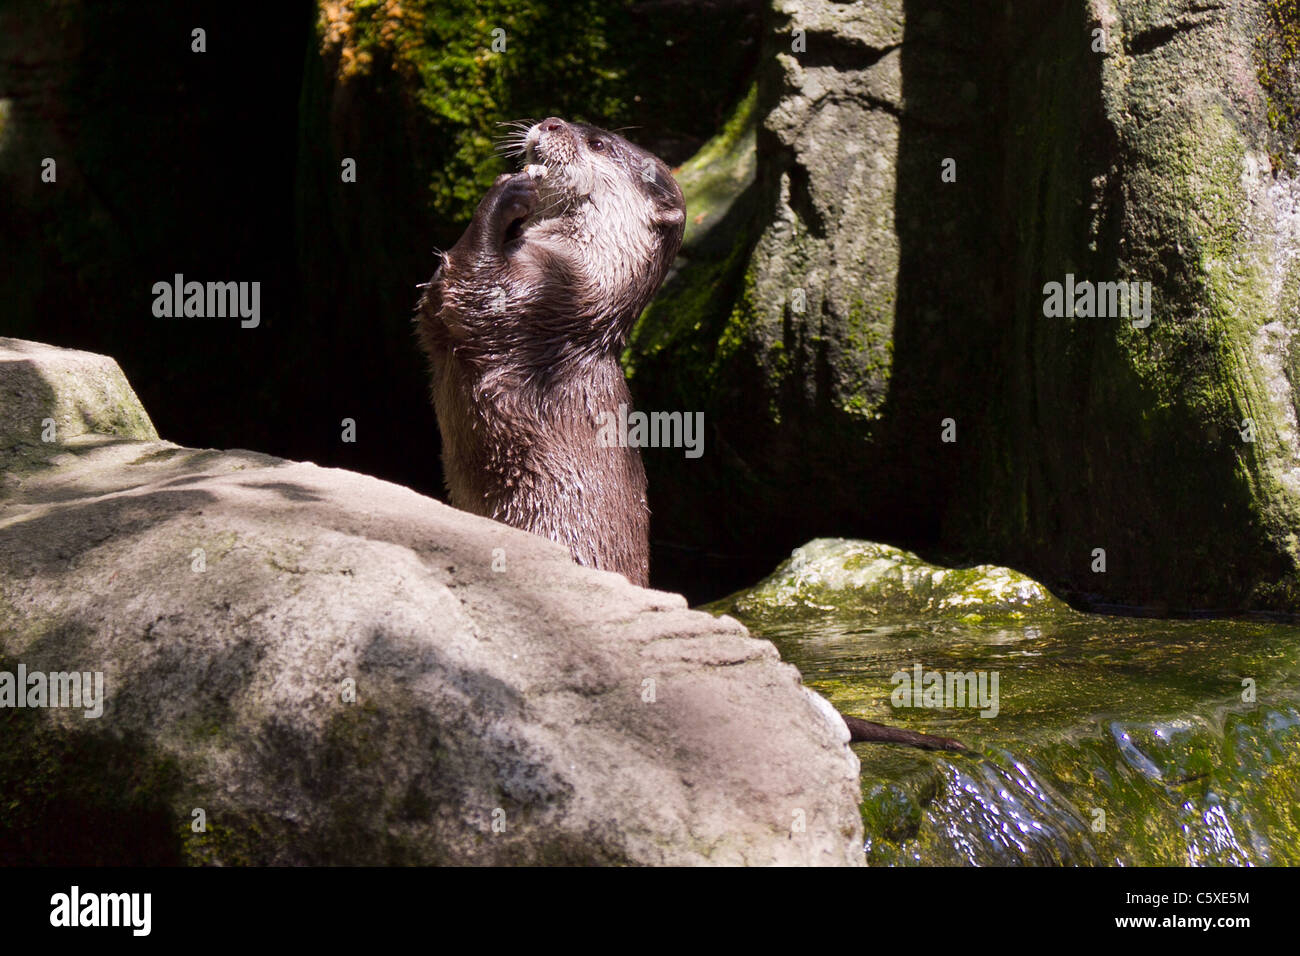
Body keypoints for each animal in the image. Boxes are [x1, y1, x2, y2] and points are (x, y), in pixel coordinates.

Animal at [416, 117, 963, 753]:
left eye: (597, 142)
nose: (550, 123)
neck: (585, 288)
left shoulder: (534, 304)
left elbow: (469, 288)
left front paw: (511, 188)